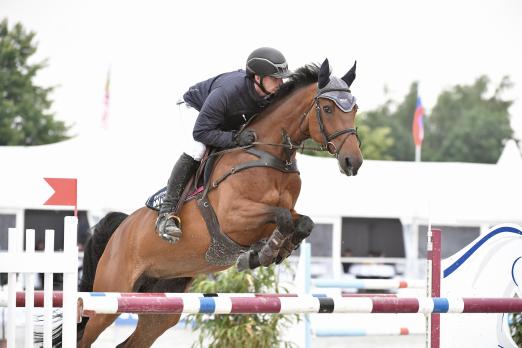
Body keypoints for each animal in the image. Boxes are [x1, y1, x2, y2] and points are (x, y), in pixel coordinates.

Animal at [74, 58, 362, 346]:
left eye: (355, 108)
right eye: (327, 108)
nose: (353, 162)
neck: (267, 155)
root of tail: (120, 230)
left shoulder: (284, 212)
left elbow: (302, 222)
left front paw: (274, 252)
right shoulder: (233, 218)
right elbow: (280, 216)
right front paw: (263, 254)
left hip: (162, 303)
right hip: (109, 298)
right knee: (85, 335)